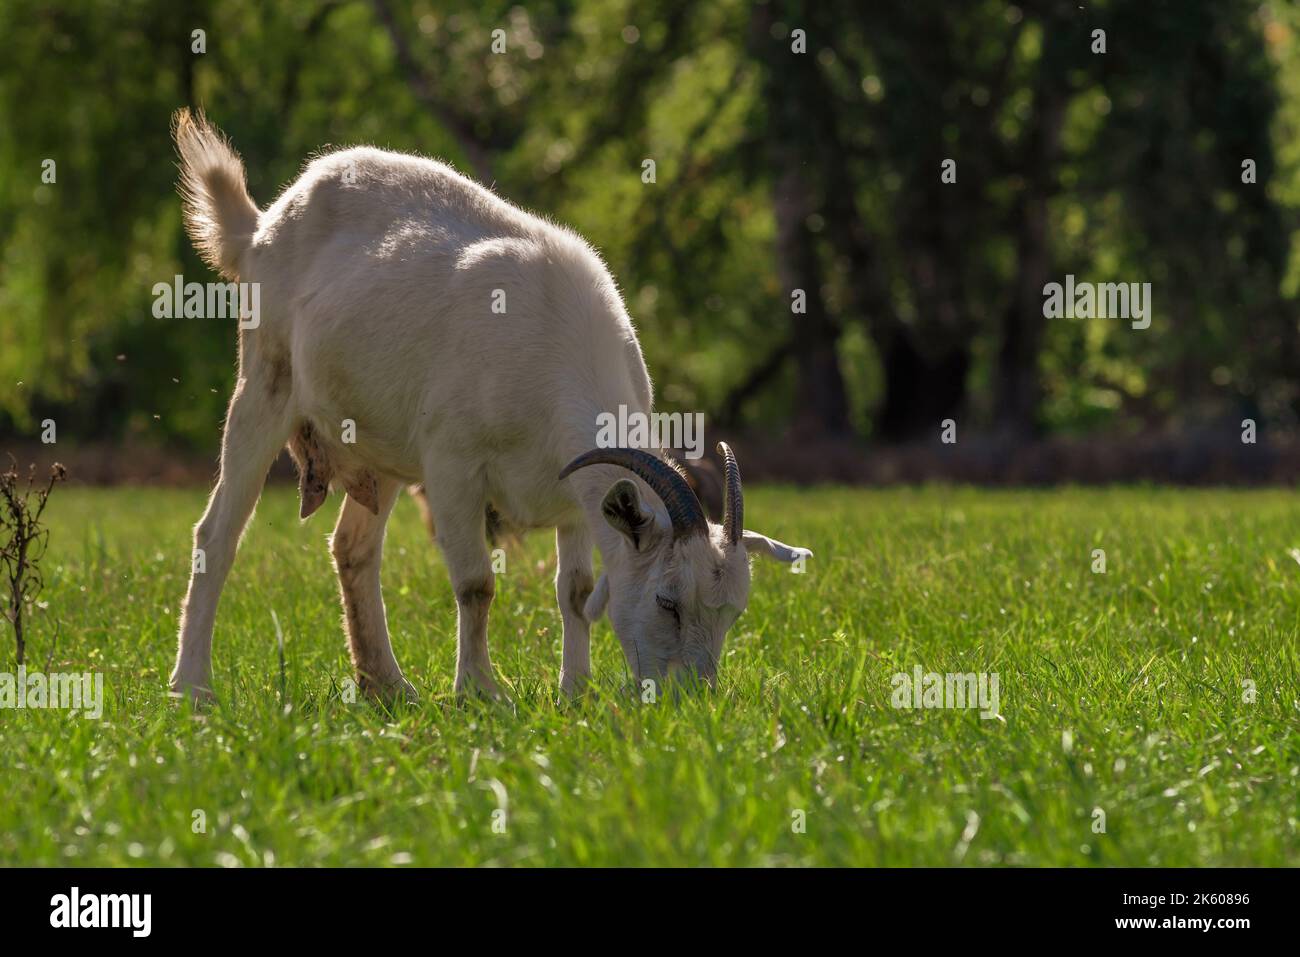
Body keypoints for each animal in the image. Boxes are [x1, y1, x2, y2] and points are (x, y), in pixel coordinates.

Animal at [168, 110, 811, 703]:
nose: (691, 697)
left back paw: (388, 688)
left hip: (380, 450)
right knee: (216, 536)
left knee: (353, 549)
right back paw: (192, 688)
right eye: (668, 602)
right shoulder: (453, 467)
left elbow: (576, 591)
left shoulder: (576, 497)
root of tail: (261, 228)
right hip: (264, 383)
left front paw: (575, 691)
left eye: (733, 612)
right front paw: (480, 693)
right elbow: (476, 584)